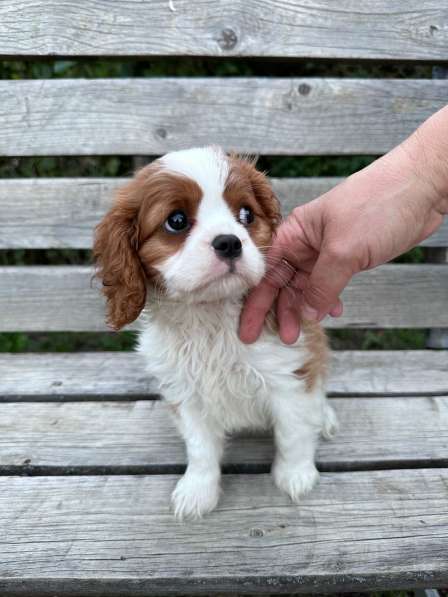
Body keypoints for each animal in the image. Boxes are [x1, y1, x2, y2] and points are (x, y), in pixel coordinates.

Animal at [93, 147, 336, 520]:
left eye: (246, 215)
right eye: (176, 221)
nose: (230, 242)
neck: (210, 315)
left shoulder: (289, 375)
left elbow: (293, 433)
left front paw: (295, 475)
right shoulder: (185, 393)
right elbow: (200, 448)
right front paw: (198, 490)